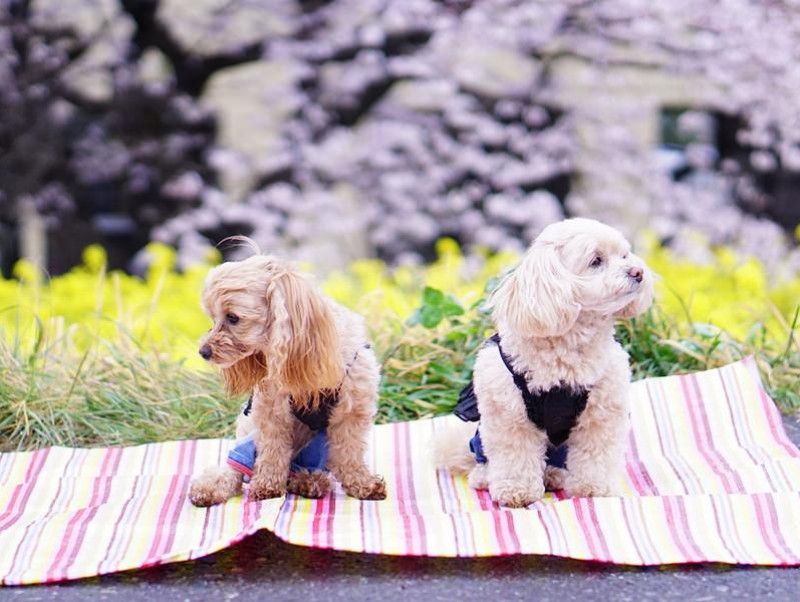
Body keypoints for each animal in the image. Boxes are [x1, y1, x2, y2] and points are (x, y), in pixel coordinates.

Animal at [188, 248, 388, 506]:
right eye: (213, 319)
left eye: (233, 317)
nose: (203, 352)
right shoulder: (272, 411)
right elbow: (273, 452)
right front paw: (267, 486)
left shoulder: (352, 409)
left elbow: (350, 453)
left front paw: (363, 484)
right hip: (248, 436)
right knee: (236, 469)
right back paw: (210, 488)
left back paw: (308, 481)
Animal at [434, 217, 652, 506]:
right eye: (596, 261)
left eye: (625, 255)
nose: (638, 272)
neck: (569, 347)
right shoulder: (509, 416)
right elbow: (514, 454)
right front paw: (516, 491)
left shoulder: (602, 414)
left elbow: (596, 454)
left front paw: (595, 489)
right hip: (481, 438)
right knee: (483, 459)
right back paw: (485, 477)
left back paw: (555, 476)